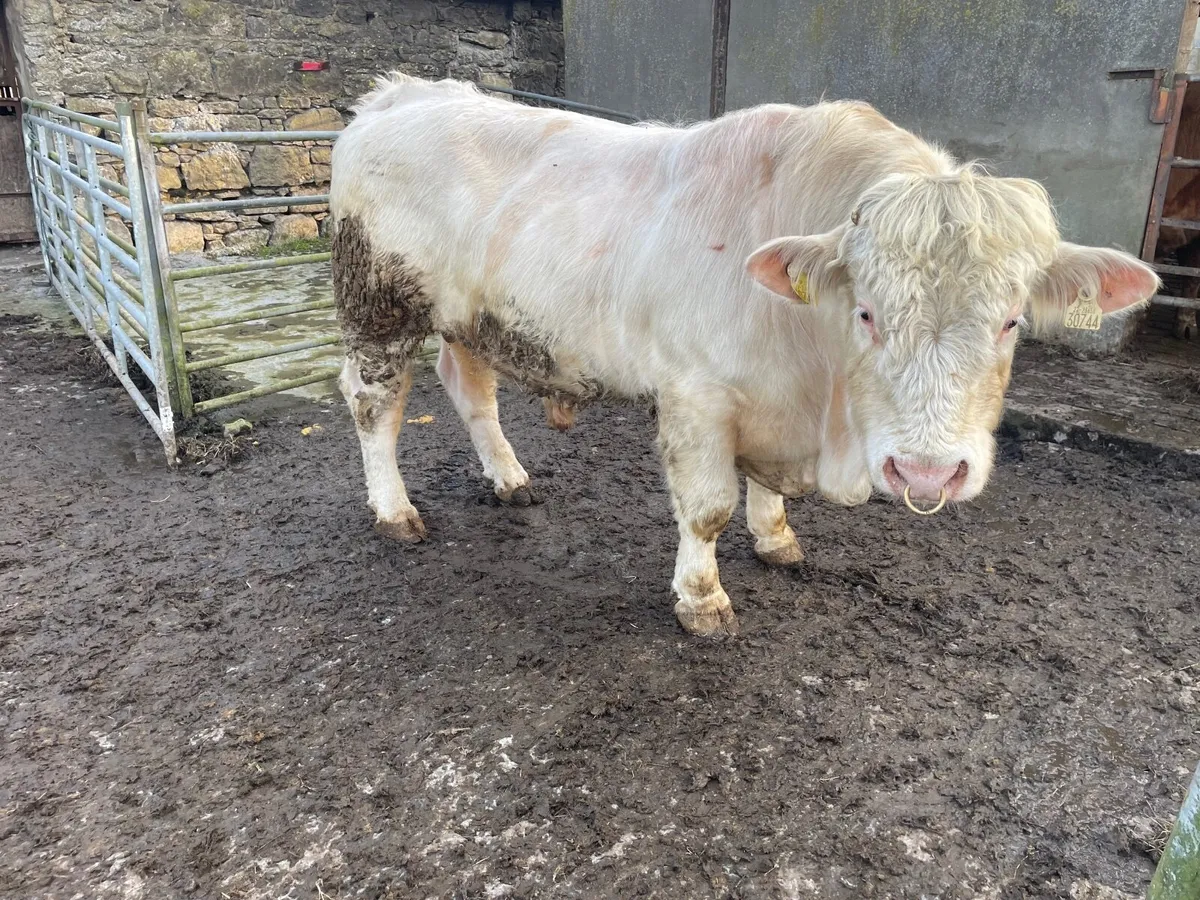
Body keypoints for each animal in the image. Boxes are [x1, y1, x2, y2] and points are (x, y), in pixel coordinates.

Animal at [329, 74, 1157, 636]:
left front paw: (777, 538)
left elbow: (765, 494)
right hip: (379, 305)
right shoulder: (695, 396)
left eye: (1012, 321)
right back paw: (394, 510)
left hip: (469, 318)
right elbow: (707, 509)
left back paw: (507, 478)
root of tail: (399, 95)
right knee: (375, 403)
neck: (816, 394)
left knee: (469, 388)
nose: (926, 473)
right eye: (866, 312)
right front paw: (702, 599)